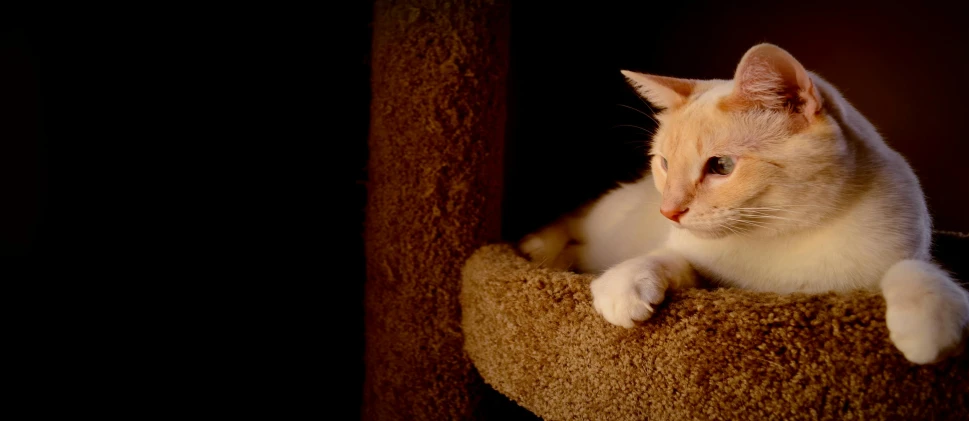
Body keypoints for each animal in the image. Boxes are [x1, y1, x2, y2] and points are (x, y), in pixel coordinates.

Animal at [520, 43, 968, 364]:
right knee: (574, 224)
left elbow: (914, 270)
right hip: (605, 228)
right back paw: (538, 250)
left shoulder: (895, 258)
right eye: (663, 163)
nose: (669, 211)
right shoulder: (708, 274)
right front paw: (624, 286)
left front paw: (929, 327)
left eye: (721, 166)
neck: (783, 236)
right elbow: (667, 258)